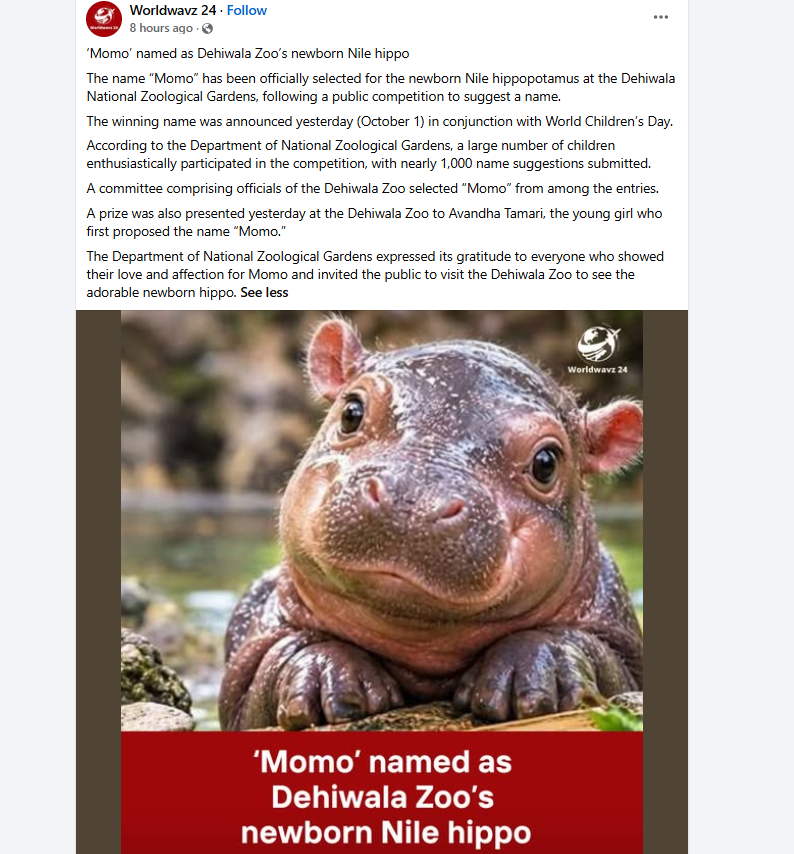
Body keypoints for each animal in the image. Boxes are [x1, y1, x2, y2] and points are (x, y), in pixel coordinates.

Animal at [220, 319, 643, 731]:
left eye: (546, 463)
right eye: (351, 412)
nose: (413, 498)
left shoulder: (621, 641)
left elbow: (601, 654)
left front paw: (538, 668)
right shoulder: (250, 663)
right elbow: (270, 663)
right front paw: (329, 674)